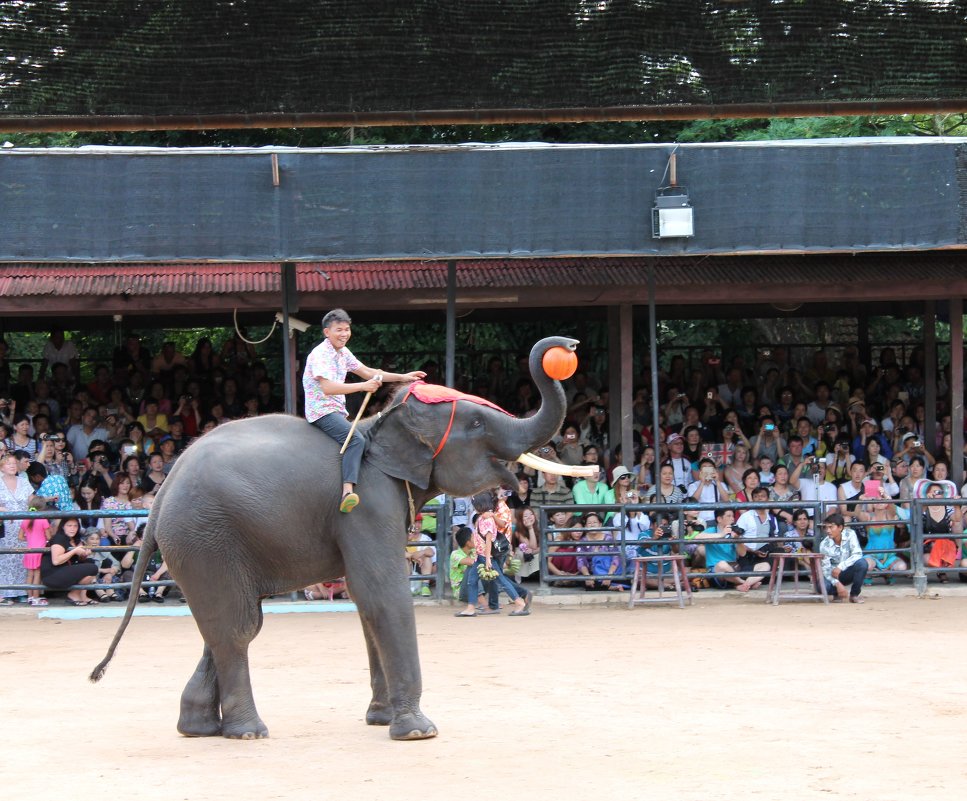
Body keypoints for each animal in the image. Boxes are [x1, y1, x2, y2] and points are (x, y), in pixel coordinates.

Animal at [91, 334, 588, 740]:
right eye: (479, 425)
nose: (569, 346)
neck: (384, 425)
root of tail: (160, 495)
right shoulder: (364, 503)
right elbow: (381, 591)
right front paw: (418, 732)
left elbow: (366, 600)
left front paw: (382, 720)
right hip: (204, 536)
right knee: (237, 628)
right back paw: (248, 732)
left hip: (205, 542)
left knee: (231, 622)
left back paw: (197, 728)